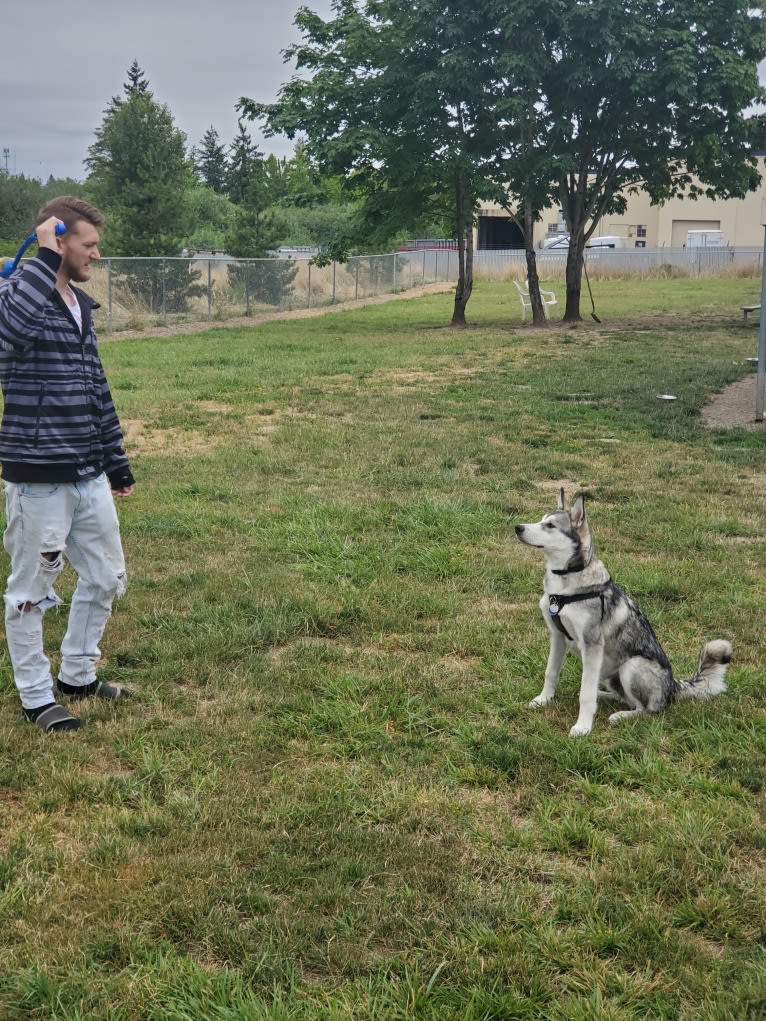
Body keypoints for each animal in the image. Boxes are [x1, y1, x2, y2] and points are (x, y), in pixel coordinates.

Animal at [516, 490, 731, 739]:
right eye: (541, 519)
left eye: (550, 525)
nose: (518, 527)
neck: (563, 589)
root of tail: (673, 687)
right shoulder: (558, 636)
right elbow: (551, 673)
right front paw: (543, 700)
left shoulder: (592, 645)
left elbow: (585, 694)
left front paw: (583, 727)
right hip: (609, 673)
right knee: (621, 697)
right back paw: (603, 697)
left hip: (632, 666)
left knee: (648, 710)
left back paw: (621, 716)